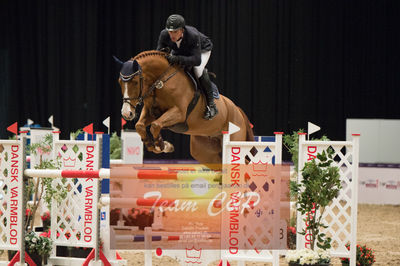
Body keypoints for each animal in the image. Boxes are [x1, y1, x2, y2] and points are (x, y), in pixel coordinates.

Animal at [115, 50, 253, 166]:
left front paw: (162, 145)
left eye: (135, 82)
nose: (126, 113)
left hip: (234, 140)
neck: (161, 81)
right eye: (119, 82)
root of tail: (238, 110)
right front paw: (152, 144)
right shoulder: (151, 112)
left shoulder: (179, 113)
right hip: (203, 152)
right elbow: (140, 126)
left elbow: (155, 125)